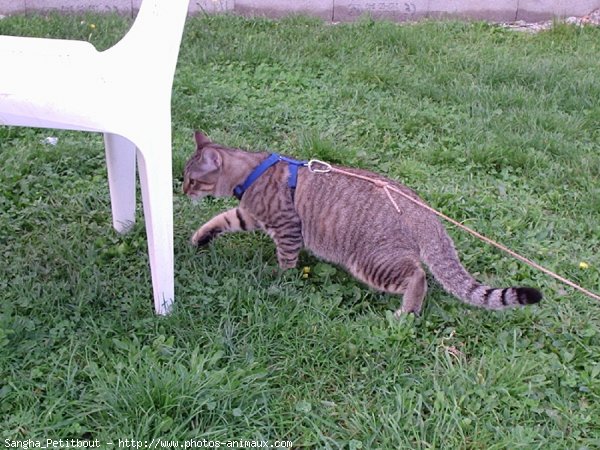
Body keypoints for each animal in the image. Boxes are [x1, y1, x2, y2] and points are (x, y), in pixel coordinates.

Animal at [184, 132, 544, 316]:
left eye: (191, 178)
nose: (181, 188)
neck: (250, 172)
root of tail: (426, 213)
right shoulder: (249, 215)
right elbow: (219, 219)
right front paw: (199, 238)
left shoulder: (286, 228)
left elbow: (286, 261)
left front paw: (279, 280)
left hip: (370, 260)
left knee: (419, 276)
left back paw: (405, 314)